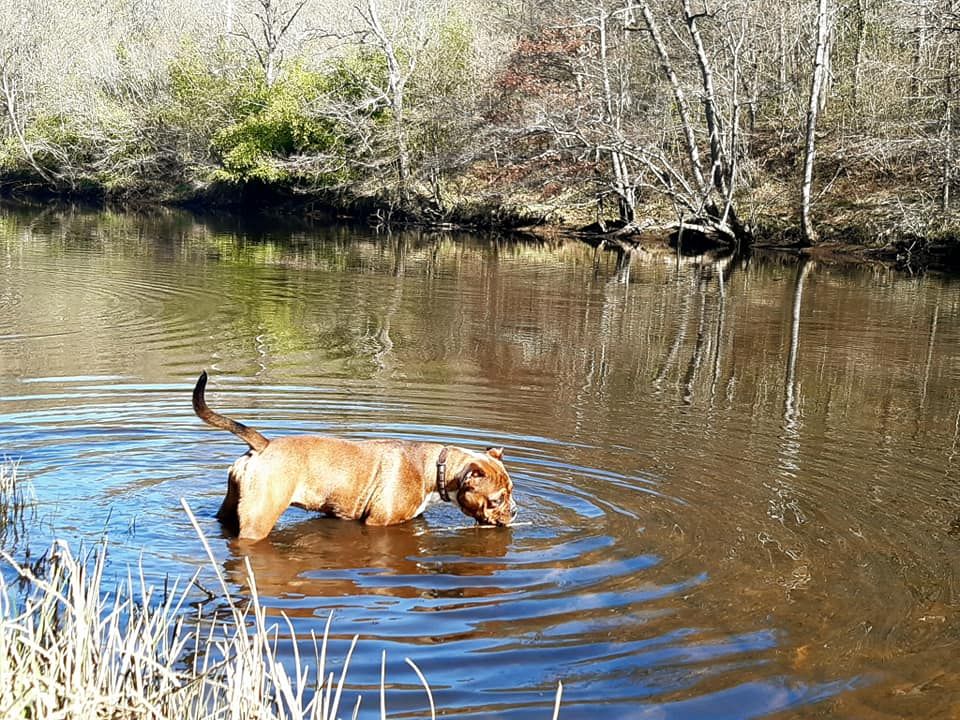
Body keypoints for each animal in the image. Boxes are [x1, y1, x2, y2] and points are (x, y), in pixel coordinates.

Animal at [192, 371, 516, 541]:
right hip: (259, 520)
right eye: (497, 500)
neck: (436, 470)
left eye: (512, 493)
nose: (514, 511)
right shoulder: (377, 524)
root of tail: (264, 444)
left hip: (231, 507)